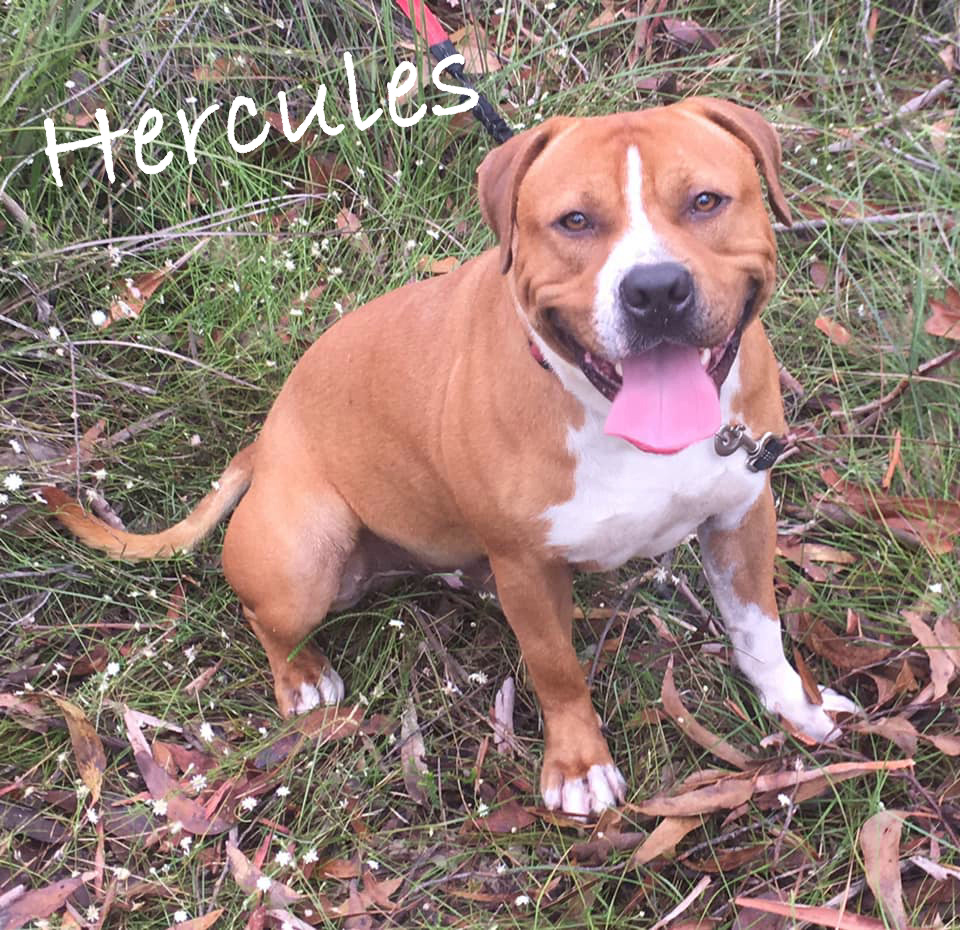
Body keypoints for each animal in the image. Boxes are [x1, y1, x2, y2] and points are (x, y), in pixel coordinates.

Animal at [43, 98, 857, 816]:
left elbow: (757, 625)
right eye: (575, 221)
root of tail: (262, 445)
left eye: (705, 201)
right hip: (307, 548)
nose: (655, 289)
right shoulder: (528, 564)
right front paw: (578, 766)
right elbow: (556, 670)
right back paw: (301, 676)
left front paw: (795, 702)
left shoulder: (742, 512)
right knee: (265, 616)